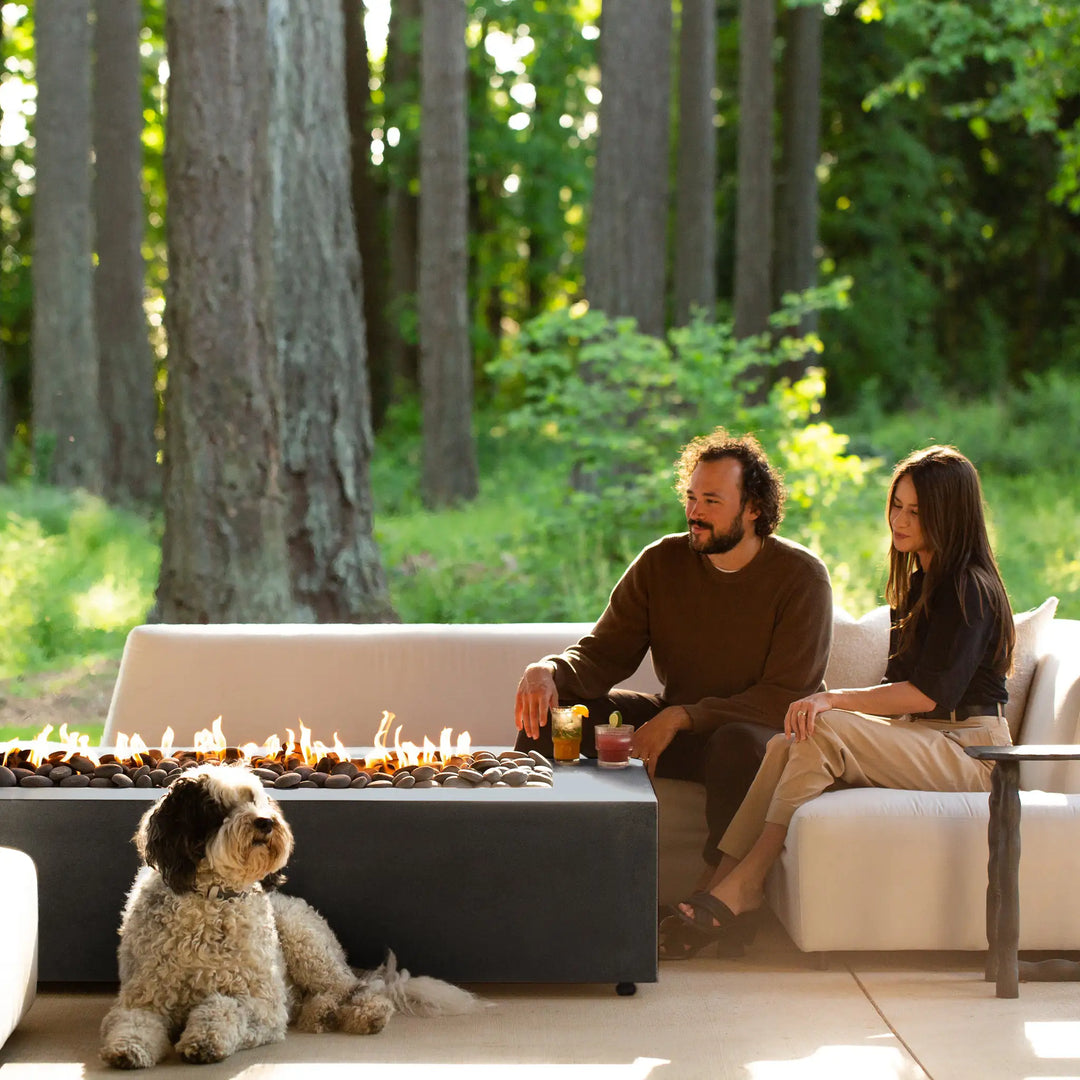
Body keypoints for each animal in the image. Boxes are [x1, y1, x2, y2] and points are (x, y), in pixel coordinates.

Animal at [101, 764, 473, 1067]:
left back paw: (360, 1013)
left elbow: (224, 1007)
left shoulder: (263, 1006)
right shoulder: (142, 999)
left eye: (255, 800)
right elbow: (132, 1023)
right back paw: (320, 1012)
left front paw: (204, 1040)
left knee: (357, 989)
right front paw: (128, 1048)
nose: (265, 822)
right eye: (215, 807)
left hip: (306, 943)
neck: (212, 899)